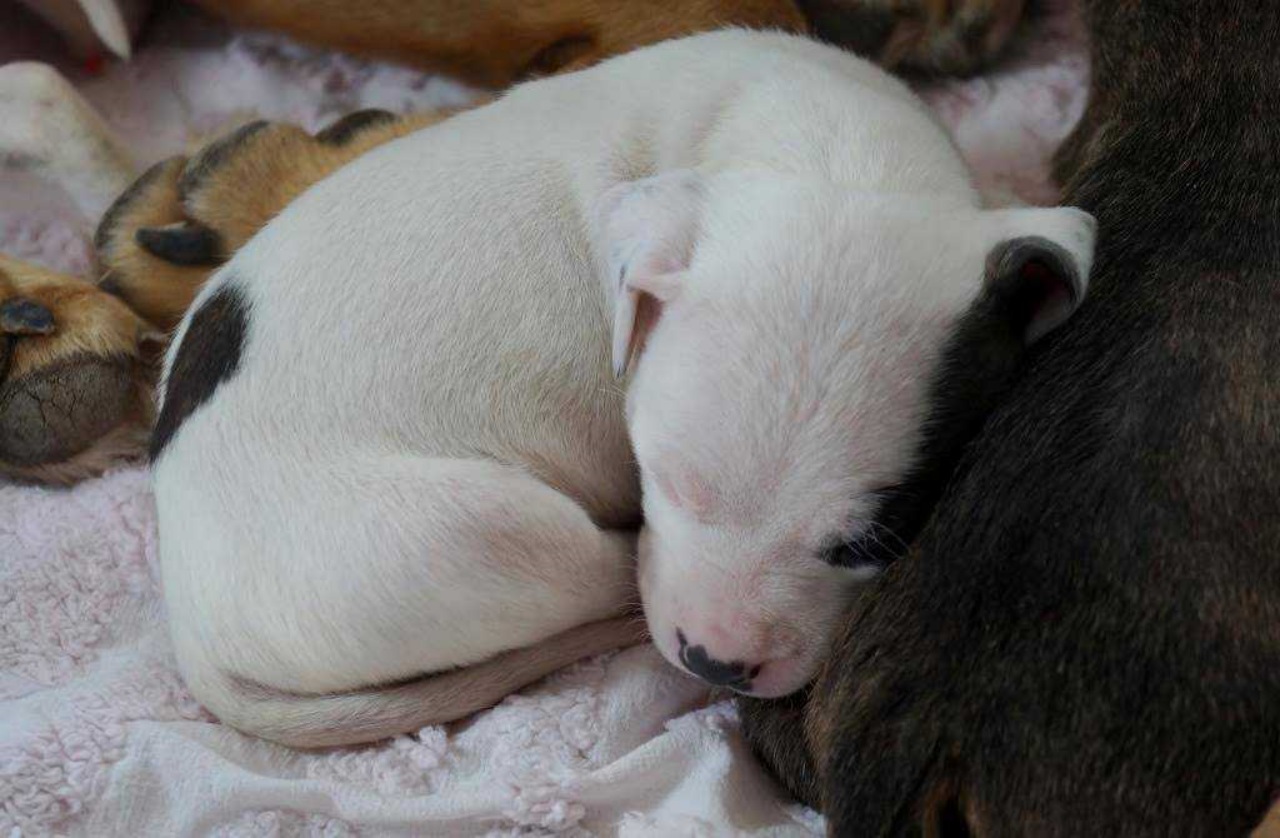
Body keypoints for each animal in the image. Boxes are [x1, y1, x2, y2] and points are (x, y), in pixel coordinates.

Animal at [147, 27, 1090, 747]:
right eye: (661, 481)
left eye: (869, 545)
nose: (715, 662)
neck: (835, 153)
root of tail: (190, 629)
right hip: (483, 535)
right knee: (592, 572)